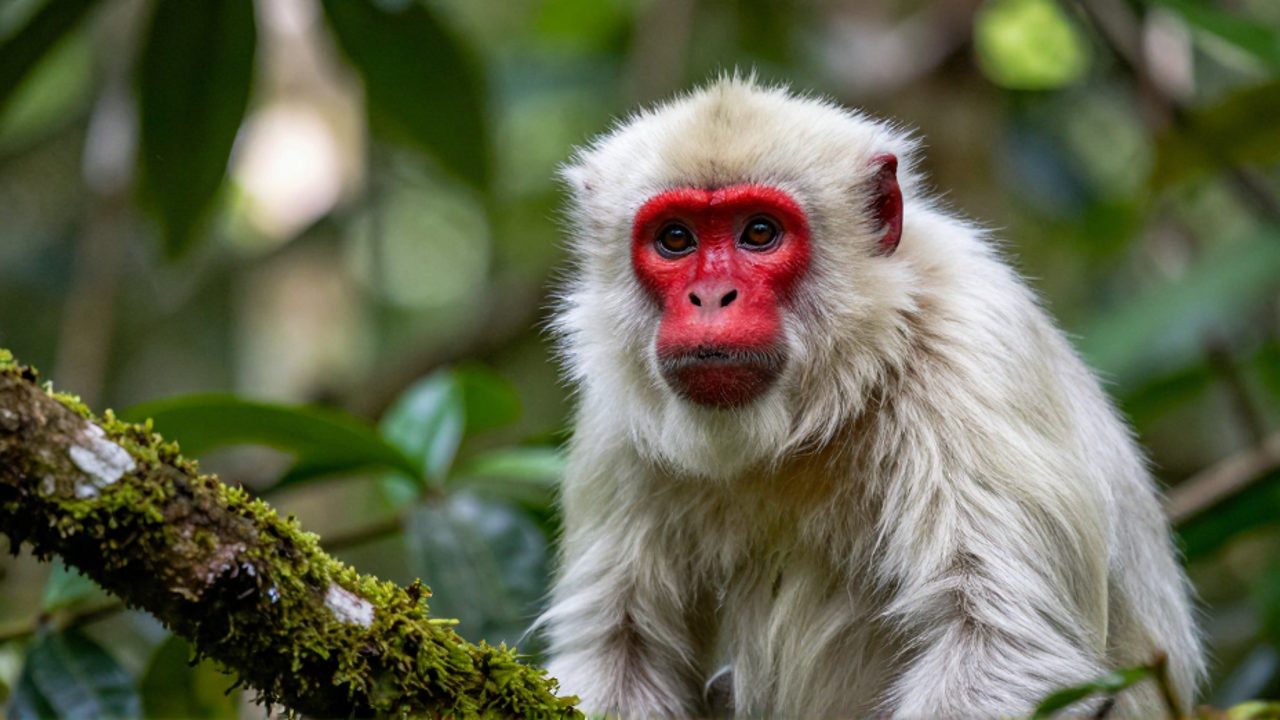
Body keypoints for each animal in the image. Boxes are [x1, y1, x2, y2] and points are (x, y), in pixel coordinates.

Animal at [536, 76, 1204, 719]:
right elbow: (621, 650)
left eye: (760, 233)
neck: (820, 401)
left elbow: (1006, 647)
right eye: (675, 239)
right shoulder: (617, 409)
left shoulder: (975, 351)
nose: (711, 296)